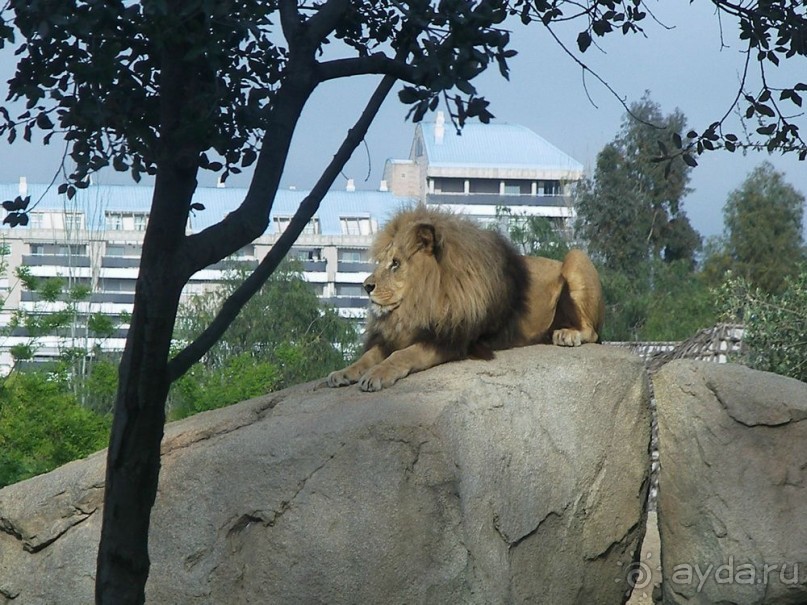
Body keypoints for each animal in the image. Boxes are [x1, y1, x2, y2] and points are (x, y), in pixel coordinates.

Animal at [326, 205, 604, 390]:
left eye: (396, 264)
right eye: (382, 261)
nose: (366, 286)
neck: (419, 303)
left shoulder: (451, 339)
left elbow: (403, 355)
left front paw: (377, 374)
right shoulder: (399, 334)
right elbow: (369, 355)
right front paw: (343, 372)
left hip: (575, 257)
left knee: (593, 333)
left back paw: (566, 334)